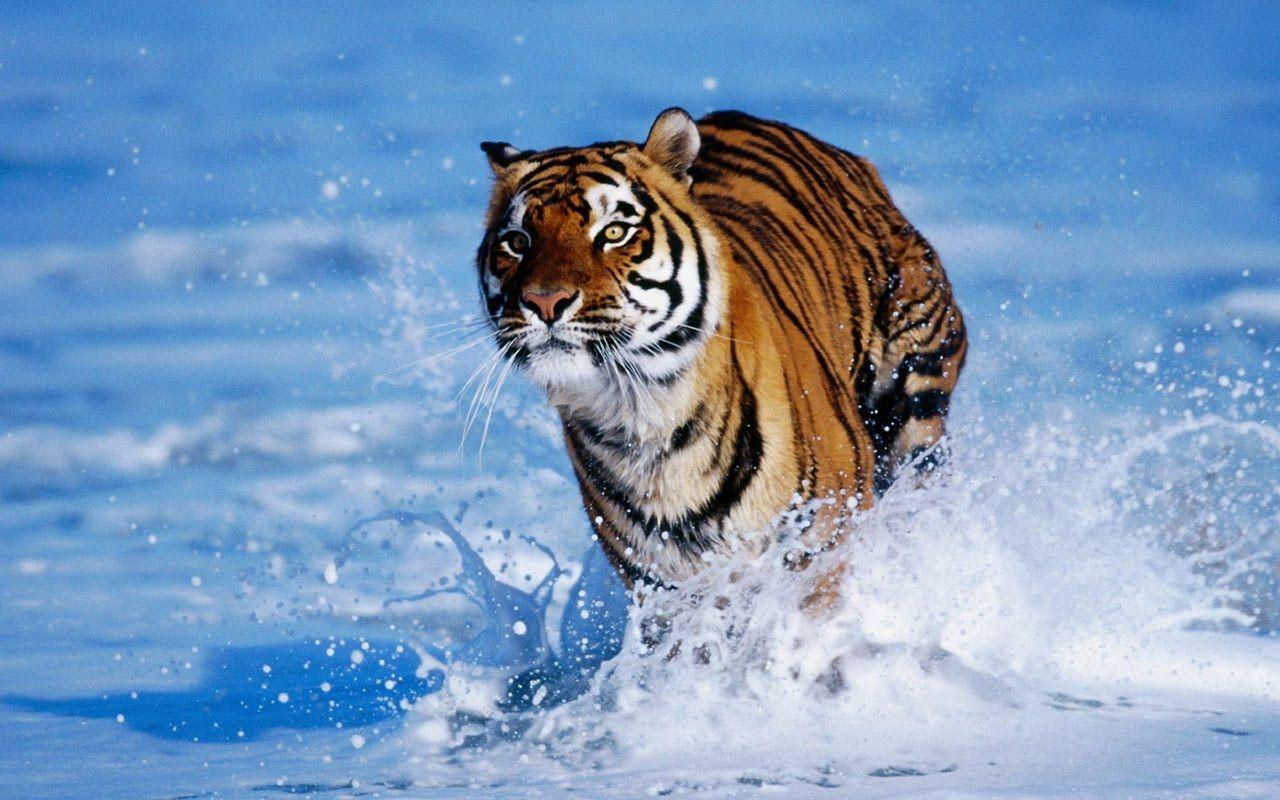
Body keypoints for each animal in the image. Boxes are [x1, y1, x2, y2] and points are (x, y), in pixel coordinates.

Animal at [475, 108, 966, 593]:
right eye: (517, 241)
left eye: (613, 232)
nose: (544, 302)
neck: (642, 415)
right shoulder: (662, 588)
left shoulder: (821, 545)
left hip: (915, 397)